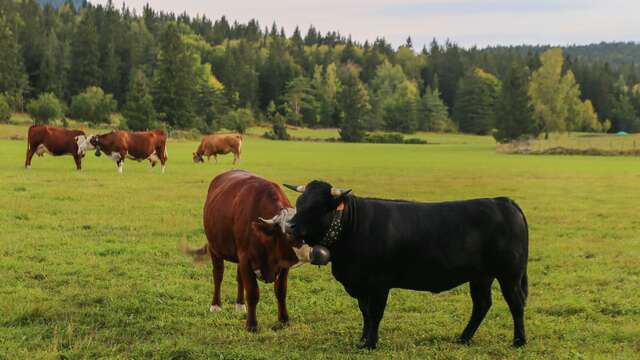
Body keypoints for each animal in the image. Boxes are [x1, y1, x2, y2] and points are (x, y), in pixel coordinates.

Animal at [286, 181, 528, 350]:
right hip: (481, 275)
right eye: (299, 204)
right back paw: (464, 338)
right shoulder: (361, 285)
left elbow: (375, 313)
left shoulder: (379, 283)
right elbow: (365, 313)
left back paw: (519, 341)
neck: (352, 226)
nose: (289, 226)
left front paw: (371, 344)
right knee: (482, 304)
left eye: (316, 207)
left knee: (515, 303)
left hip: (510, 274)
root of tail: (503, 201)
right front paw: (363, 340)